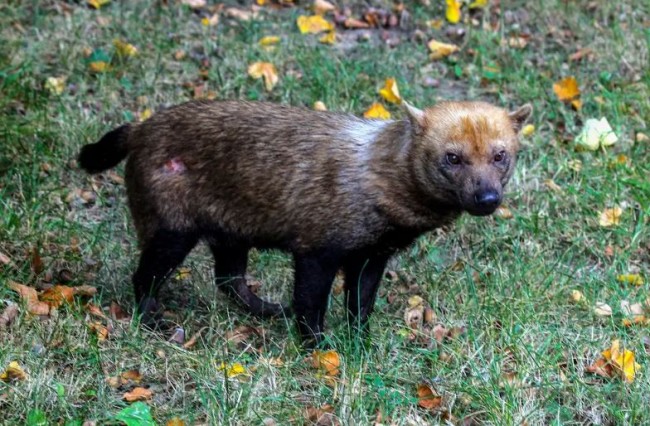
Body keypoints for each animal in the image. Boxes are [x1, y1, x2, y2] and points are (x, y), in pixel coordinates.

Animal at [78, 100, 528, 346]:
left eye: (500, 155)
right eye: (452, 157)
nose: (487, 199)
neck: (375, 178)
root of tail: (139, 129)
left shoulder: (371, 256)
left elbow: (359, 306)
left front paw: (360, 343)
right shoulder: (317, 250)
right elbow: (311, 305)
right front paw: (318, 347)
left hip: (230, 232)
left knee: (229, 280)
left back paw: (267, 310)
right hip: (173, 232)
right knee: (145, 277)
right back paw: (153, 321)